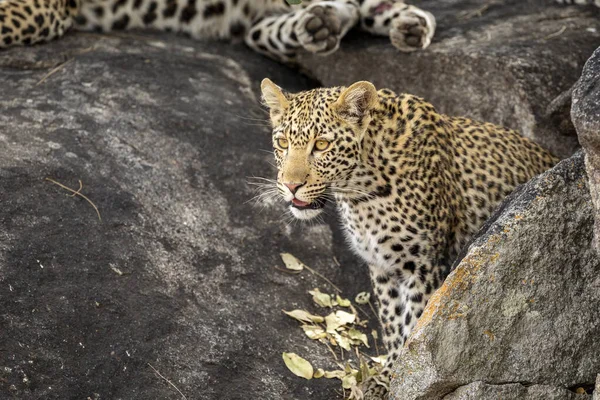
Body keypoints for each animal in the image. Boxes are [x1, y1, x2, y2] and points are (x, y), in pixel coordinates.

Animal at [260, 77, 560, 396]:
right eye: (283, 143)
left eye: (321, 145)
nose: (290, 186)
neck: (361, 192)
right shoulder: (383, 267)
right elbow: (393, 323)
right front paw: (387, 376)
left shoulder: (425, 267)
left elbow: (414, 325)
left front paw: (404, 379)